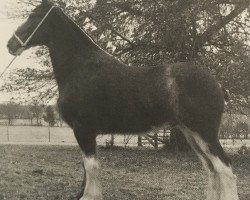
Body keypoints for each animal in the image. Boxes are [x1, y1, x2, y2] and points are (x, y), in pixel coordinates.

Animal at [6, 0, 239, 199]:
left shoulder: (83, 129)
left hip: (204, 133)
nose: (10, 44)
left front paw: (90, 196)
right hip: (191, 134)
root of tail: (217, 84)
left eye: (34, 16)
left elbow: (91, 167)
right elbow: (86, 167)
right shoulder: (84, 133)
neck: (81, 67)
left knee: (225, 170)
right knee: (212, 170)